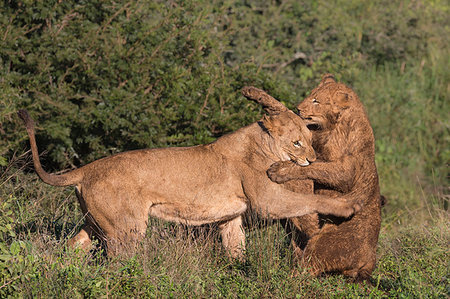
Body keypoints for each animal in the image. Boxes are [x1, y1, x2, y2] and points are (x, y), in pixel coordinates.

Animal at [19, 91, 360, 258]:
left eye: (310, 137)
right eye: (297, 142)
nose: (311, 159)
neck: (262, 143)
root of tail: (86, 169)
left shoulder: (231, 218)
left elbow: (237, 252)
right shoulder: (267, 201)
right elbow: (309, 202)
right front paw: (347, 206)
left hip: (95, 223)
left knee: (70, 249)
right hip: (126, 230)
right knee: (117, 265)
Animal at [268, 75, 382, 282]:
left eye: (316, 101)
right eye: (310, 95)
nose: (298, 108)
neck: (331, 125)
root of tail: (370, 260)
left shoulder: (346, 170)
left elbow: (314, 166)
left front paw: (280, 170)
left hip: (326, 242)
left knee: (306, 271)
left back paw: (283, 276)